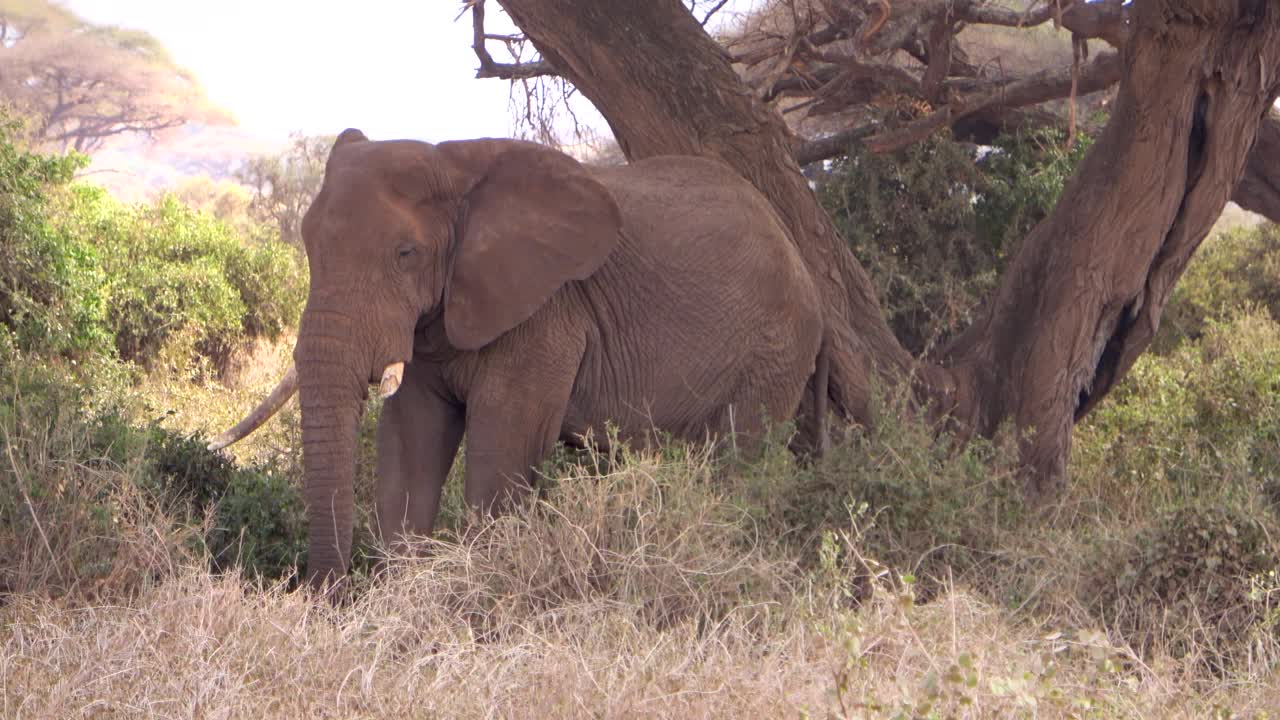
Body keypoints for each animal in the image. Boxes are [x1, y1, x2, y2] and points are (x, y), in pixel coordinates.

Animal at [209, 128, 829, 589]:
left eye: (406, 254)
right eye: (308, 244)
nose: (325, 594)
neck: (453, 165)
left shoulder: (546, 314)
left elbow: (499, 454)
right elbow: (411, 442)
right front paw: (402, 603)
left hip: (774, 350)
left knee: (738, 464)